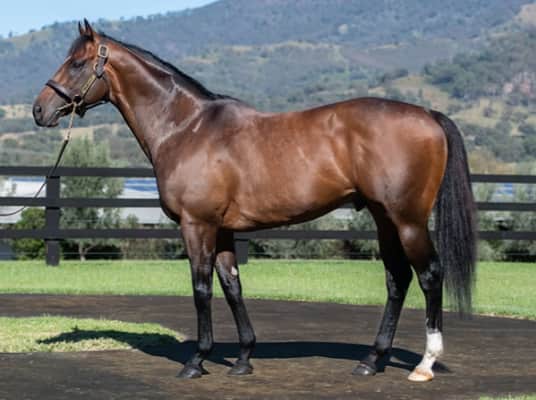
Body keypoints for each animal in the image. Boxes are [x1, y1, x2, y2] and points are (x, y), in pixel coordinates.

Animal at [33, 20, 477, 382]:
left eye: (77, 63)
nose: (40, 110)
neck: (186, 128)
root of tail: (428, 114)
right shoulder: (224, 230)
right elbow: (232, 286)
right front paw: (244, 358)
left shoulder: (197, 225)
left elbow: (201, 287)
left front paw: (197, 361)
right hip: (385, 219)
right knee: (397, 279)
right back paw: (371, 360)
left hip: (408, 220)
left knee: (429, 275)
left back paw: (424, 364)